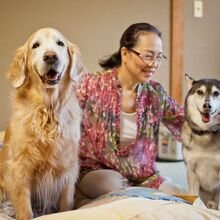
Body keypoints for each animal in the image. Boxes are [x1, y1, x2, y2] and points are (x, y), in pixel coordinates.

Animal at [183, 74, 220, 210]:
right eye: (199, 92)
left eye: (216, 93)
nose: (207, 106)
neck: (206, 133)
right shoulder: (192, 170)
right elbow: (193, 195)